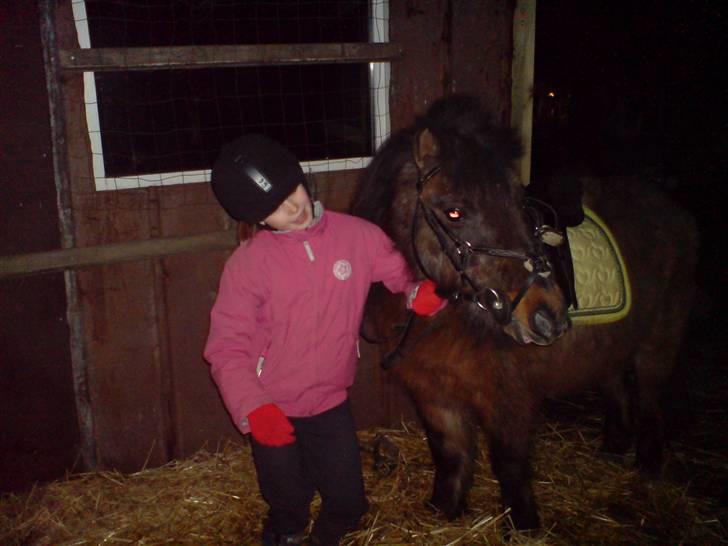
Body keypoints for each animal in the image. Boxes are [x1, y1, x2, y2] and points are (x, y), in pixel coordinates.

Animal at [352, 92, 700, 528]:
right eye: (454, 211)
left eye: (518, 204)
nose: (549, 316)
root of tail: (673, 211)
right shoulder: (434, 395)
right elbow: (450, 455)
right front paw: (445, 510)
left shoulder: (509, 400)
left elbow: (510, 466)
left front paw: (523, 525)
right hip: (610, 348)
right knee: (617, 388)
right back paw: (614, 447)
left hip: (656, 347)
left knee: (651, 402)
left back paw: (650, 467)